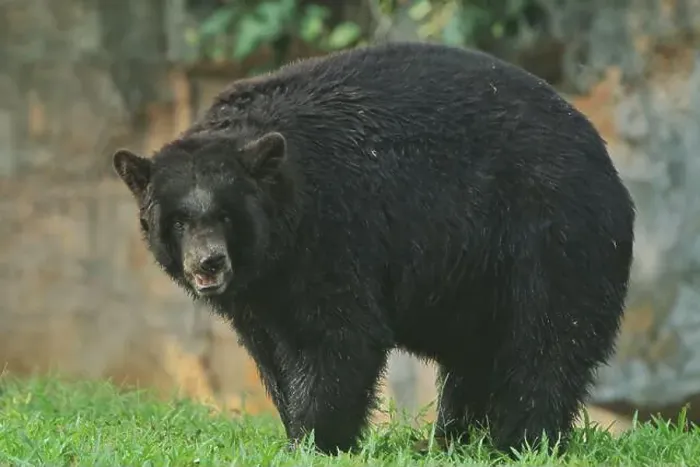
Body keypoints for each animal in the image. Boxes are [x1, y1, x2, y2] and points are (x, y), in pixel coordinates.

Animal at [112, 41, 635, 456]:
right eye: (178, 220)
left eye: (225, 214)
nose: (209, 263)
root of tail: (608, 167)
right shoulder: (263, 289)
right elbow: (270, 351)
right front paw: (294, 428)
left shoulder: (335, 228)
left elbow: (338, 336)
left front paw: (316, 439)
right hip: (481, 279)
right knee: (477, 359)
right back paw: (453, 439)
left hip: (552, 238)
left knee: (545, 343)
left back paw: (517, 440)